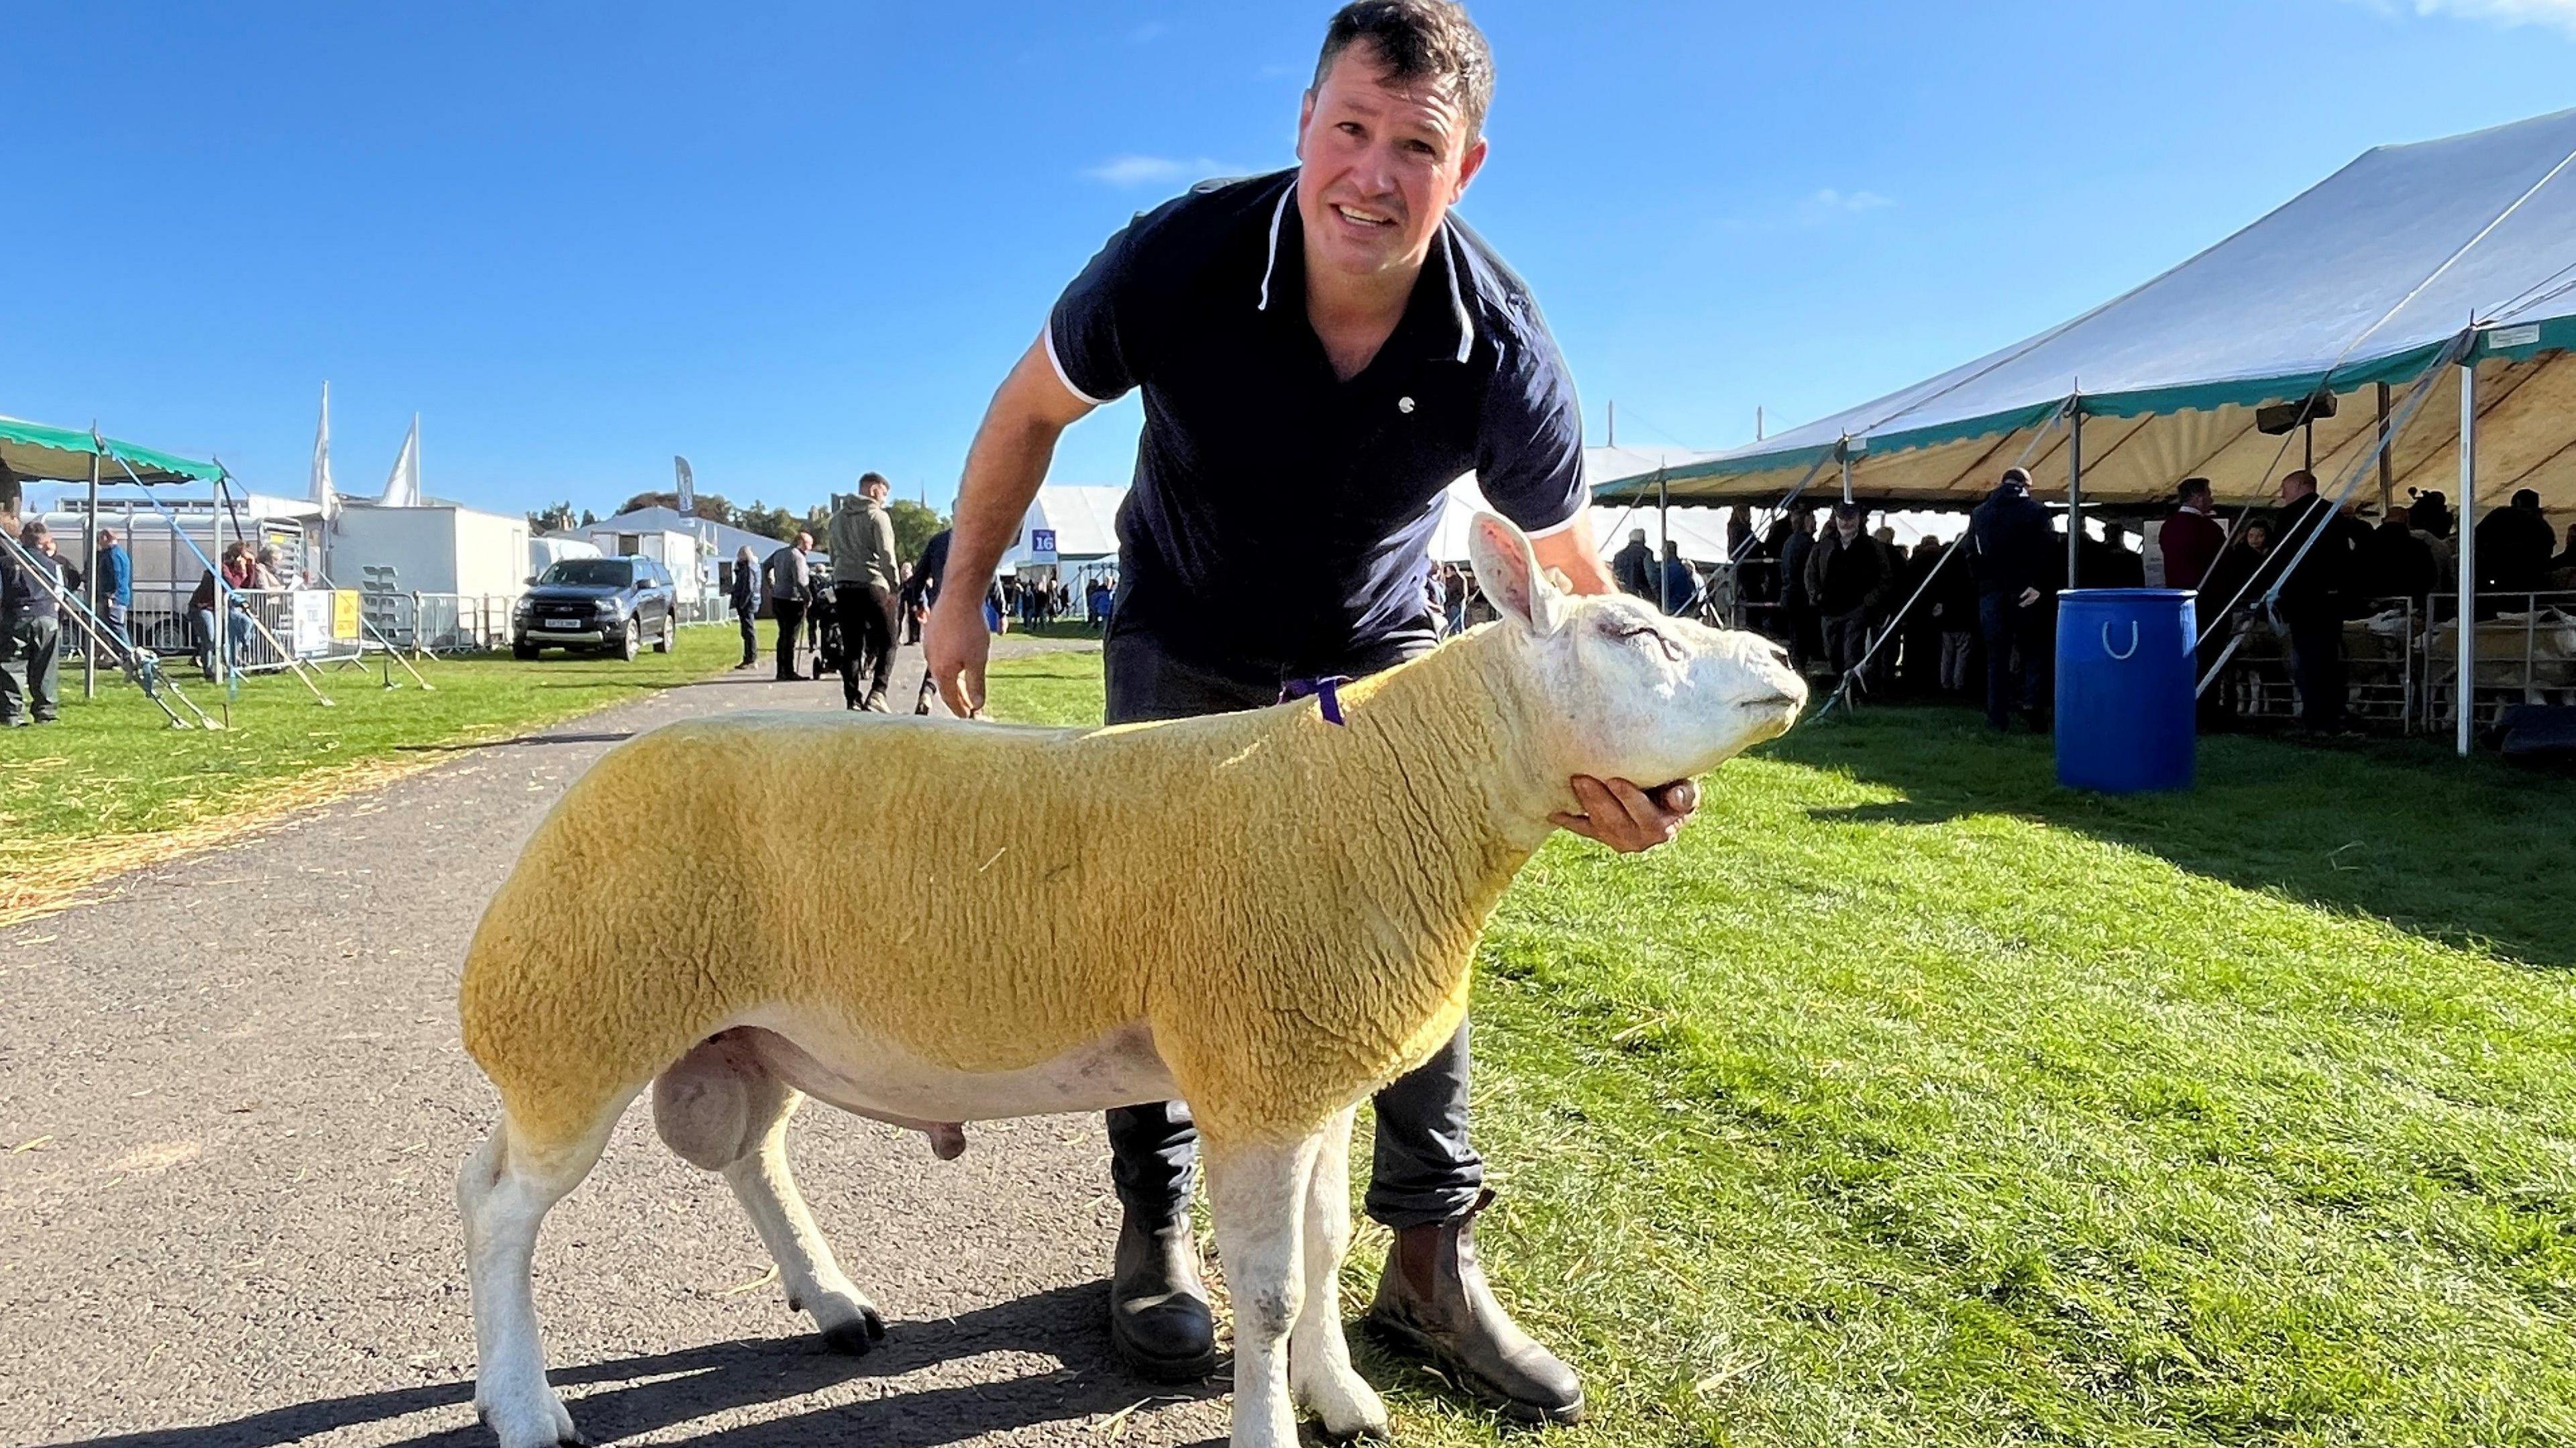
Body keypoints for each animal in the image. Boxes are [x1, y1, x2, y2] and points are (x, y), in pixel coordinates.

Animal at [448, 512, 1813, 1443]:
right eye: (1633, 631)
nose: (1788, 667)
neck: (1388, 786)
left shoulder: (1309, 1066)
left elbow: (1325, 1248)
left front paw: (1343, 1393)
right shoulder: (1258, 1065)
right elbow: (1268, 1287)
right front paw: (1270, 1425)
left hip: (738, 1029)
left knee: (747, 1155)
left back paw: (832, 1299)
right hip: (578, 1017)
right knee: (499, 1204)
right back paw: (524, 1404)